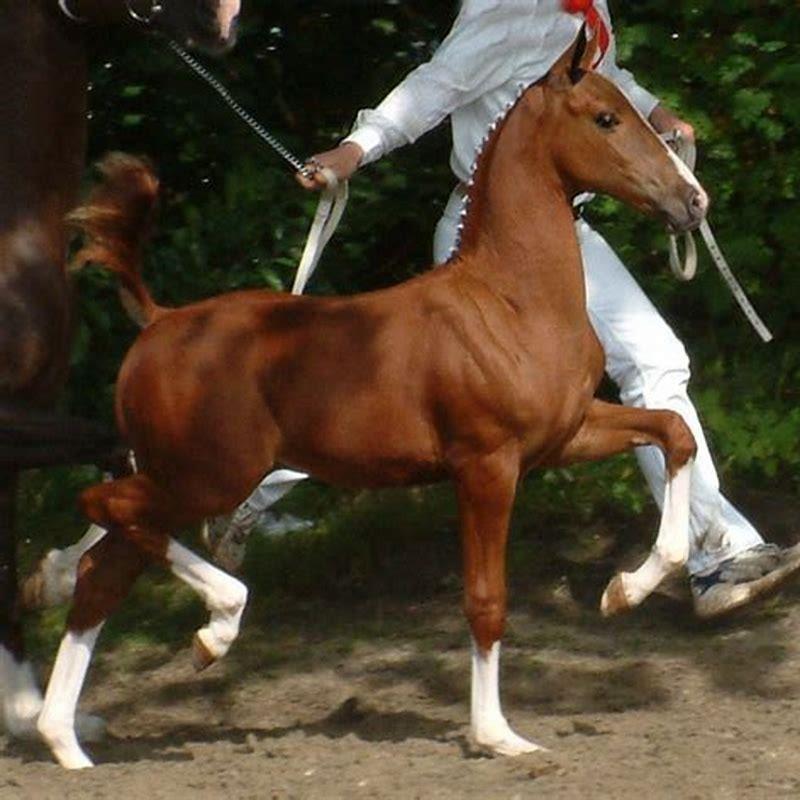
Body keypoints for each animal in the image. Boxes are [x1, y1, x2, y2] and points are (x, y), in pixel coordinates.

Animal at [37, 31, 706, 769]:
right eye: (606, 118)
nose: (691, 201)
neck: (510, 300)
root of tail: (158, 322)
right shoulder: (487, 466)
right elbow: (486, 599)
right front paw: (497, 734)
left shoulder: (564, 435)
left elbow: (674, 432)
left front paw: (624, 592)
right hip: (207, 478)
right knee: (104, 511)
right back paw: (210, 630)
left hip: (180, 478)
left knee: (105, 568)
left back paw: (66, 740)